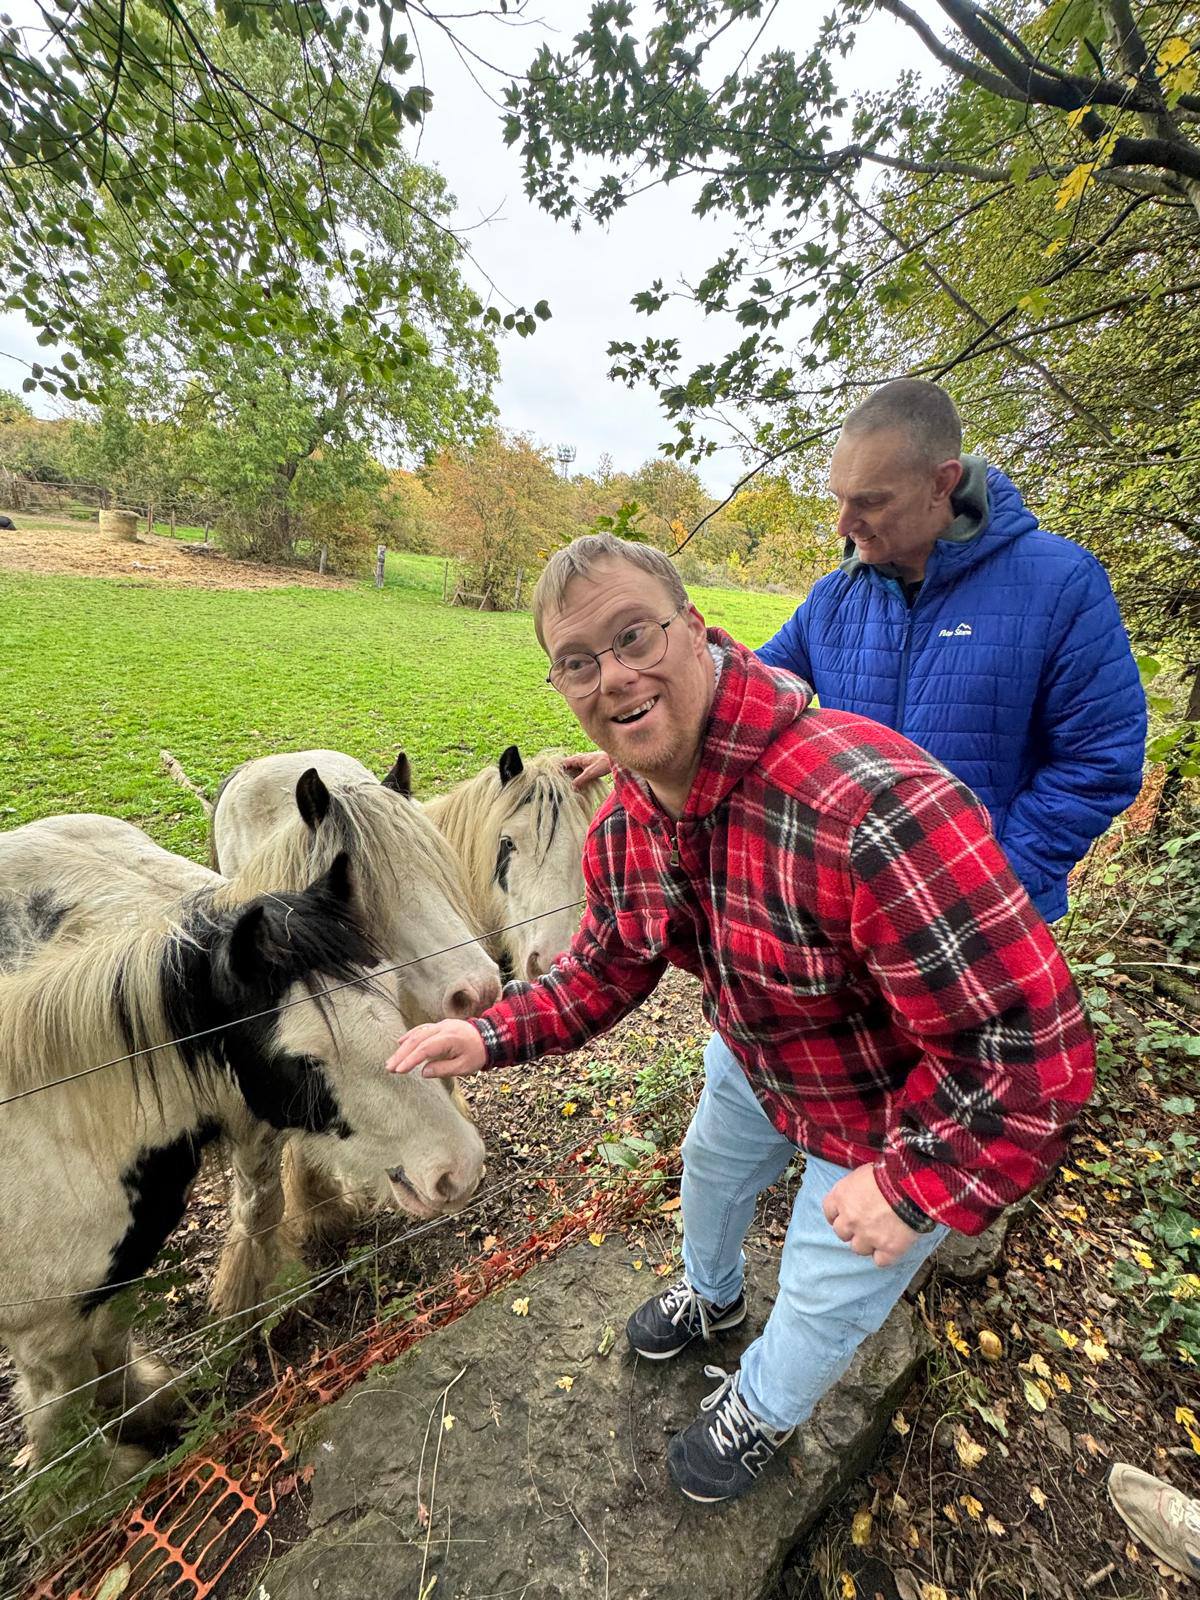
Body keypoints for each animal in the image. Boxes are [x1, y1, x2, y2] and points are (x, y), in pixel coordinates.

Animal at [0, 814, 486, 1474]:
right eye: (304, 1060)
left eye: (390, 992)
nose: (460, 1166)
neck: (60, 1133)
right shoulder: (41, 1332)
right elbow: (63, 1409)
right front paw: (105, 1474)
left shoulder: (113, 1279)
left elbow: (109, 1345)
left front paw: (144, 1406)